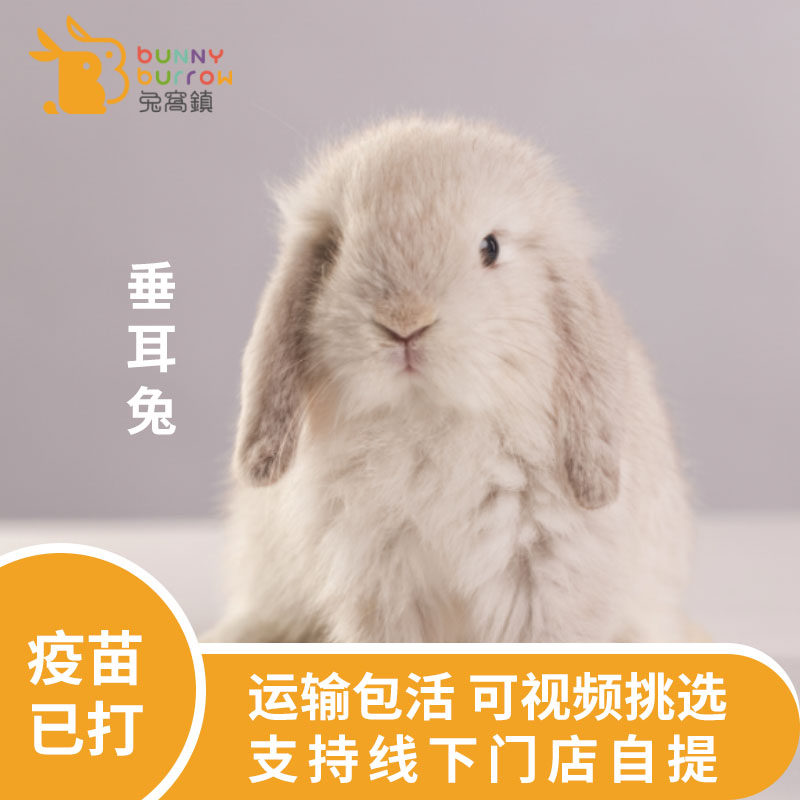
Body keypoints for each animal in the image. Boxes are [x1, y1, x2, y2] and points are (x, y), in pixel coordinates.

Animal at [206, 116, 694, 643]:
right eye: (336, 249)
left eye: (491, 248)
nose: (404, 322)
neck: (430, 421)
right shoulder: (380, 583)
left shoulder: (552, 575)